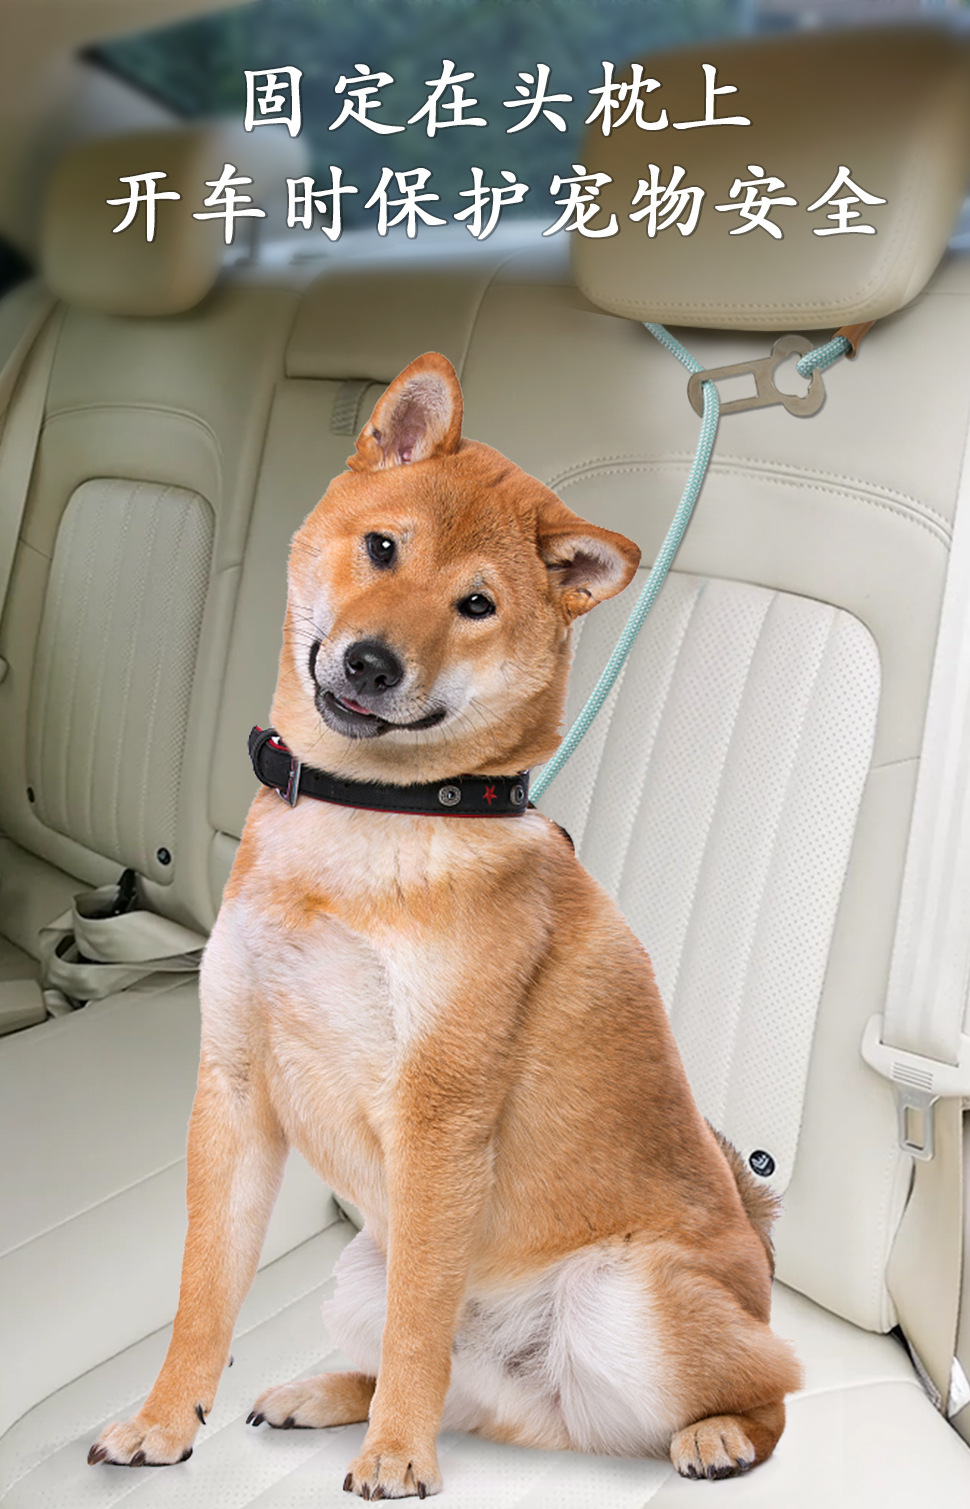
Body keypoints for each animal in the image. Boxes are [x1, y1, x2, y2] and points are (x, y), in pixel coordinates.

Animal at [89, 351, 802, 1496]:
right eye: (384, 547)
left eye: (476, 604)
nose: (373, 663)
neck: (366, 818)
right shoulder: (234, 1088)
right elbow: (206, 1291)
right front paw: (162, 1420)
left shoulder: (437, 1114)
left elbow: (418, 1328)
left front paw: (397, 1459)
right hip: (357, 1269)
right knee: (453, 1388)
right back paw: (325, 1394)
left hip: (627, 1302)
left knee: (762, 1386)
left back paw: (719, 1434)